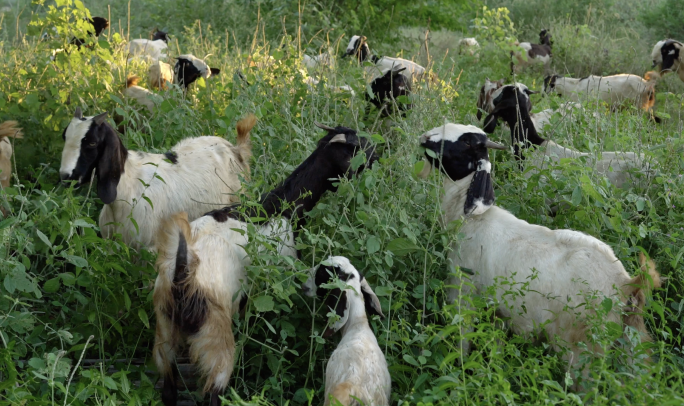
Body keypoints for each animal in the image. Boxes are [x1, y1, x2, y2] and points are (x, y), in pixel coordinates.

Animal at [152, 122, 380, 404]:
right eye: (357, 146)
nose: (377, 156)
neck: (282, 208)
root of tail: (181, 276)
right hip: (215, 338)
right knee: (214, 390)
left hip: (164, 331)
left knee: (168, 386)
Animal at [420, 124, 660, 390]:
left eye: (467, 143)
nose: (424, 138)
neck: (473, 218)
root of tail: (626, 284)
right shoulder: (498, 312)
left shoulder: (463, 291)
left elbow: (461, 340)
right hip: (630, 343)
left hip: (582, 350)